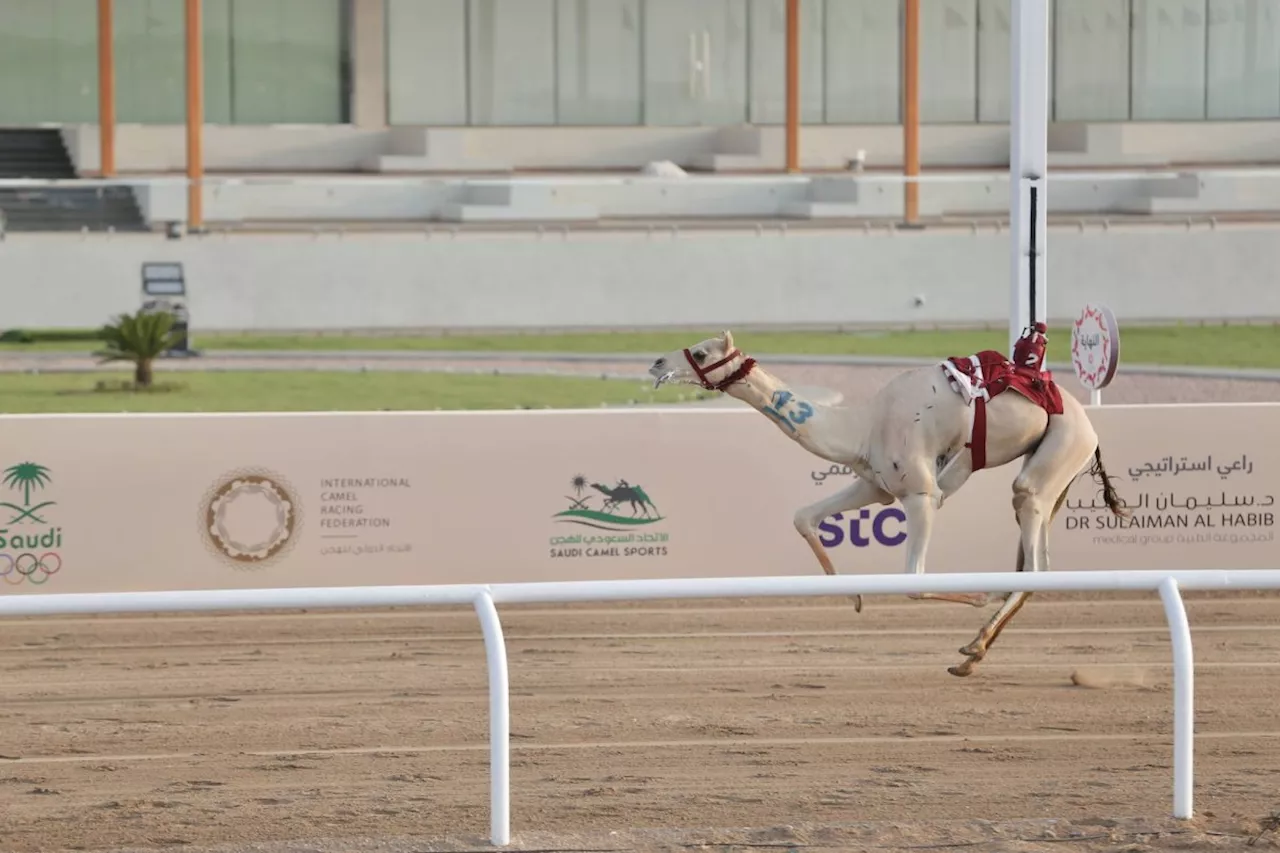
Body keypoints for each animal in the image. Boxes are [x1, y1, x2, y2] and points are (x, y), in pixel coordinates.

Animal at [650, 327, 1131, 676]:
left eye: (703, 352)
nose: (657, 362)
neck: (863, 426)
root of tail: (1089, 426)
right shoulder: (876, 485)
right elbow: (804, 517)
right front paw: (856, 599)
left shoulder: (920, 493)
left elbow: (913, 581)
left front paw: (978, 595)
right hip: (1053, 469)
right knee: (1038, 561)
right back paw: (973, 652)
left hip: (1060, 448)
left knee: (1032, 550)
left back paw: (975, 642)